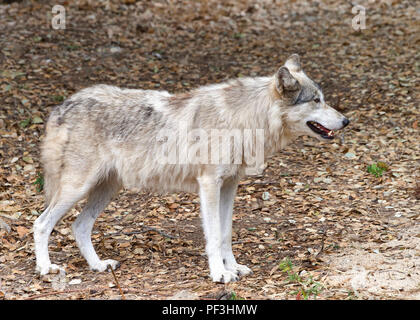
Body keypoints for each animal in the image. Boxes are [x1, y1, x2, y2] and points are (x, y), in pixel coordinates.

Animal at [32, 54, 350, 282]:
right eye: (316, 100)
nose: (346, 121)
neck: (244, 119)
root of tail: (63, 105)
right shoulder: (208, 184)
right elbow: (213, 235)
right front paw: (220, 274)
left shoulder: (229, 186)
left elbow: (226, 233)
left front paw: (234, 268)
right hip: (77, 188)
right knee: (41, 223)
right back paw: (46, 269)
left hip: (106, 189)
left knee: (79, 226)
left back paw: (98, 266)